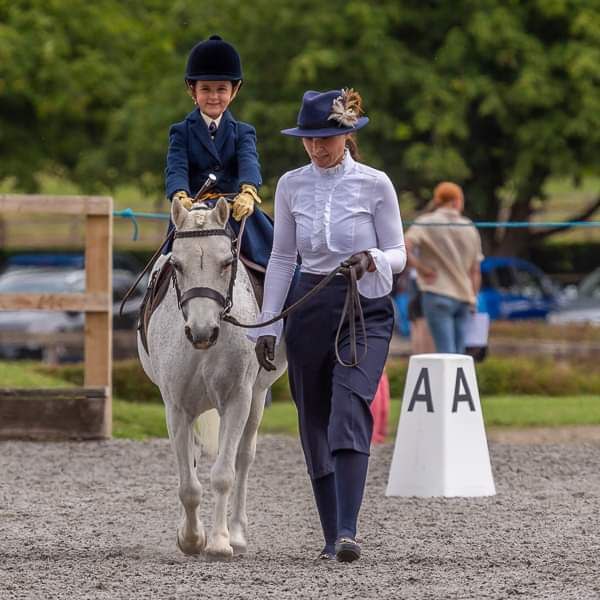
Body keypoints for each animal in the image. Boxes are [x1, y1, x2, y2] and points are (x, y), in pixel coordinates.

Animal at [138, 197, 286, 556]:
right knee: (191, 459)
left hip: (257, 396)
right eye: (177, 265)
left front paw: (219, 542)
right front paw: (191, 538)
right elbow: (188, 482)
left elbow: (223, 474)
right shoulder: (176, 407)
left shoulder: (237, 400)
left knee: (244, 458)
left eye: (226, 262)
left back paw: (237, 534)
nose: (202, 332)